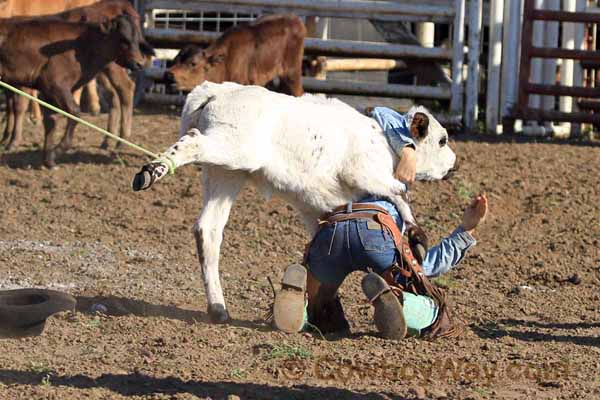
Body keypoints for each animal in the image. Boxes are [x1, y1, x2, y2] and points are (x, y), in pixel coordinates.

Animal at [134, 81, 458, 322]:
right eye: (442, 140)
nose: (454, 164)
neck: (384, 141)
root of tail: (218, 90)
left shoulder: (316, 208)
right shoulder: (364, 173)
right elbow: (399, 193)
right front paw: (416, 236)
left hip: (226, 173)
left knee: (208, 230)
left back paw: (218, 308)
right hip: (234, 150)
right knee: (192, 140)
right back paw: (151, 172)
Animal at [164, 14, 304, 96]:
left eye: (193, 63)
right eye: (174, 60)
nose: (168, 75)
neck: (225, 63)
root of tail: (296, 20)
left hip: (292, 73)